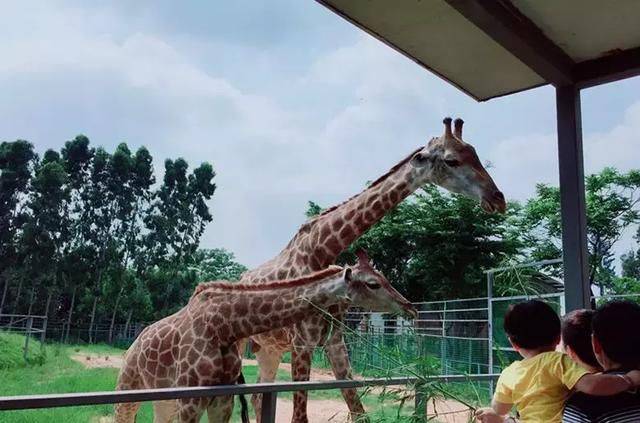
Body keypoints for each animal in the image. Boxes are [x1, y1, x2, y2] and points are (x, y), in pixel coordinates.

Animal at [114, 252, 416, 423]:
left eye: (383, 276)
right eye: (373, 283)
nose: (409, 306)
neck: (226, 325)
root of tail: (134, 343)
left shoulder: (222, 398)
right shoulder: (190, 399)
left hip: (163, 400)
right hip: (128, 387)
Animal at [242, 117, 508, 423]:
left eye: (475, 154)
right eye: (452, 160)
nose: (498, 198)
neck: (321, 249)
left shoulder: (335, 342)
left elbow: (358, 410)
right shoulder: (302, 343)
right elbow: (301, 416)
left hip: (270, 350)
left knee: (259, 396)